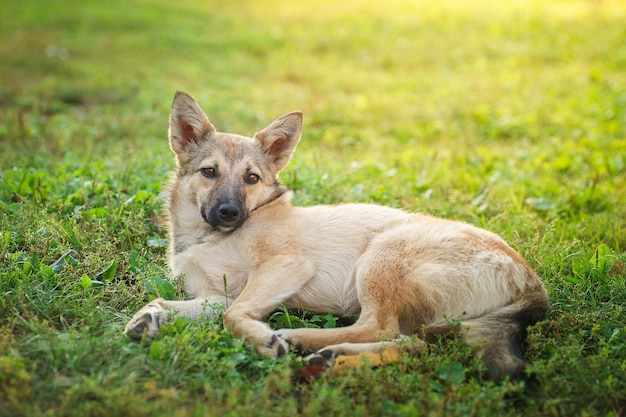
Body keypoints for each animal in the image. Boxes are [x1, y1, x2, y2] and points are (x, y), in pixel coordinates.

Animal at [124, 91, 548, 380]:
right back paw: (333, 357)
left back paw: (301, 338)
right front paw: (148, 318)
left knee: (379, 327)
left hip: (382, 256)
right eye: (209, 172)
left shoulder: (284, 266)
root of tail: (531, 282)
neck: (208, 236)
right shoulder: (216, 295)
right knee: (412, 345)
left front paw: (262, 339)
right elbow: (168, 301)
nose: (230, 213)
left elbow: (234, 316)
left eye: (252, 178)